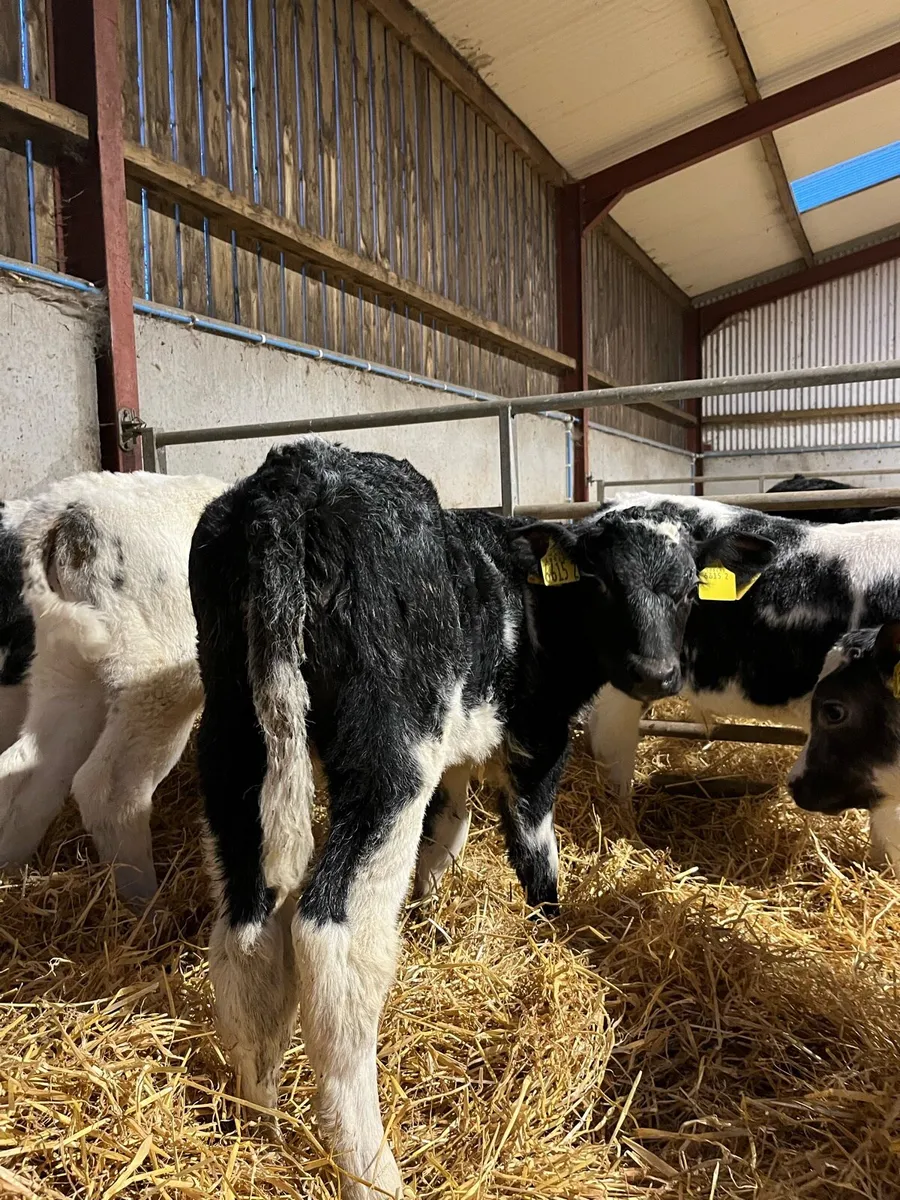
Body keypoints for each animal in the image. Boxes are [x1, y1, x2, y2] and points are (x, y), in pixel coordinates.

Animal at [0, 470, 225, 902]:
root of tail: (59, 520)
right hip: (154, 676)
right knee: (108, 790)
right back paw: (145, 903)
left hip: (68, 667)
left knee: (25, 774)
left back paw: (11, 875)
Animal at [188, 439, 774, 1199]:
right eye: (602, 585)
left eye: (687, 589)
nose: (655, 673)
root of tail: (290, 483)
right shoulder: (538, 739)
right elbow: (534, 848)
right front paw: (553, 934)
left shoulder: (458, 754)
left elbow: (448, 832)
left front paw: (432, 914)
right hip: (390, 755)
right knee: (332, 934)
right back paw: (369, 1168)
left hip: (233, 739)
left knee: (246, 928)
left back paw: (261, 1117)